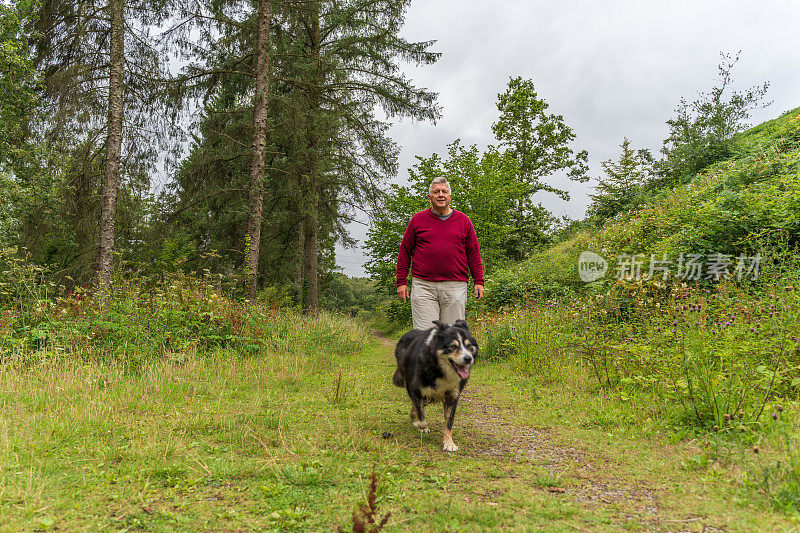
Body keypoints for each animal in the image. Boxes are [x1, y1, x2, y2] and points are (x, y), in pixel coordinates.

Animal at [392, 318, 476, 450]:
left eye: (469, 346)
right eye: (453, 346)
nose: (468, 359)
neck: (439, 368)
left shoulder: (452, 395)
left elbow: (449, 422)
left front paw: (449, 443)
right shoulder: (416, 389)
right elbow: (421, 416)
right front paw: (421, 425)